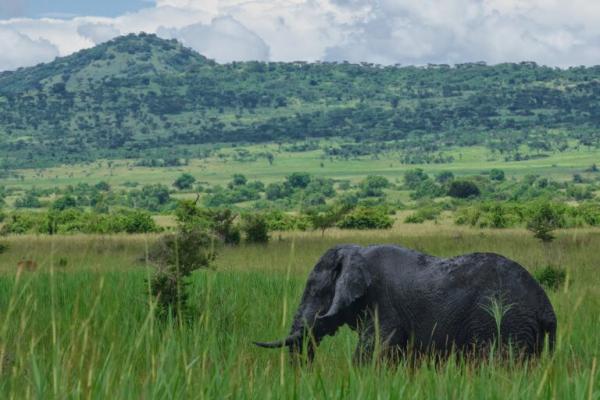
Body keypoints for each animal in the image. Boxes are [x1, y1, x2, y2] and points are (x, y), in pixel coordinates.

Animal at [254, 244, 556, 362]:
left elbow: (372, 351)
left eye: (316, 291)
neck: (357, 251)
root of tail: (546, 307)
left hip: (507, 322)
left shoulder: (383, 306)